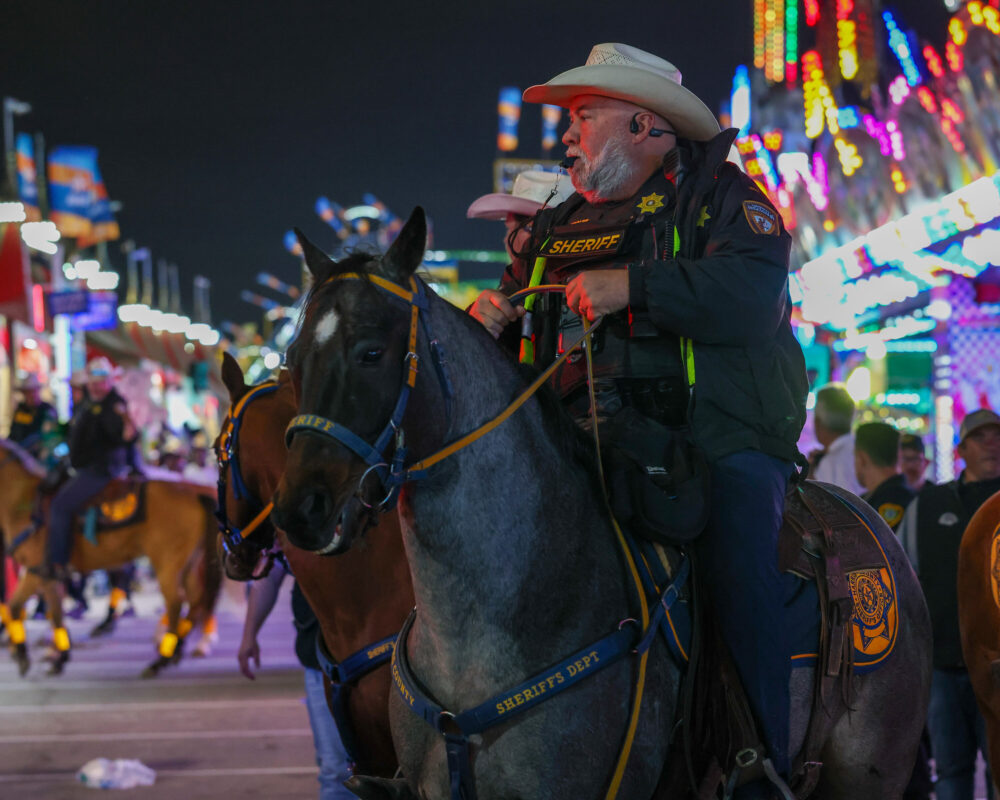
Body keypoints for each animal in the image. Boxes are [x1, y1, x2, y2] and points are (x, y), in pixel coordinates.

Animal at [0, 440, 223, 680]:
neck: (23, 501)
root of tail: (194, 492)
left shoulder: (38, 570)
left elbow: (21, 607)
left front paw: (29, 656)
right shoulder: (43, 574)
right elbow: (50, 611)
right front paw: (55, 657)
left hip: (167, 563)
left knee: (176, 603)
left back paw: (160, 659)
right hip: (189, 562)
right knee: (196, 601)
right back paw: (176, 649)